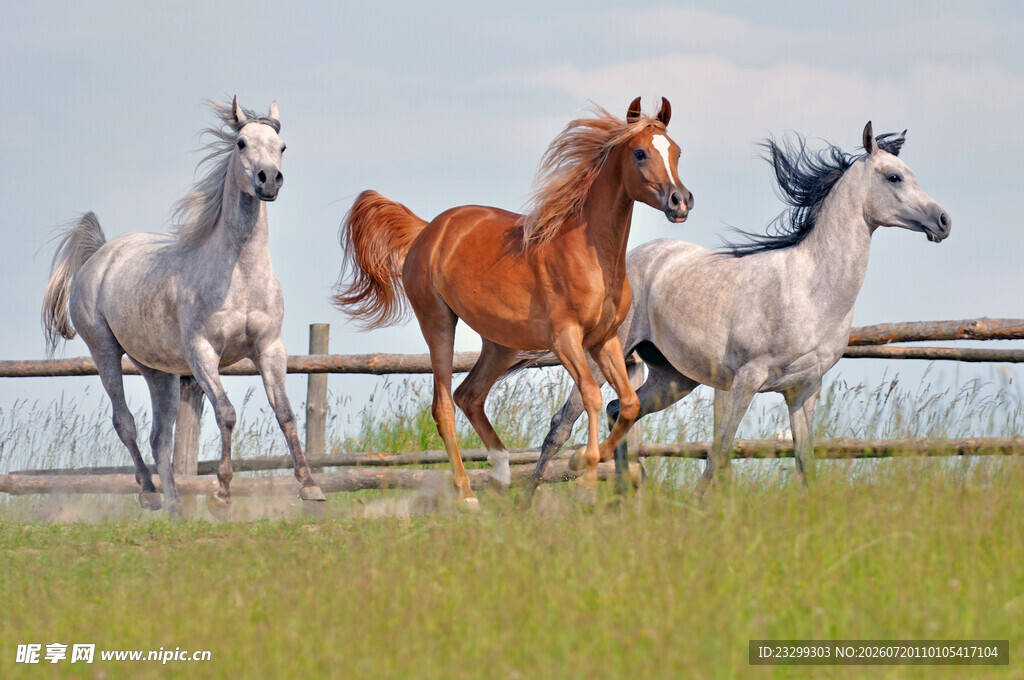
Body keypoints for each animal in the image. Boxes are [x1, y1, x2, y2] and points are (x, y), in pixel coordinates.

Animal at [42, 97, 325, 517]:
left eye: (282, 146)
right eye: (241, 142)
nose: (268, 180)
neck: (239, 273)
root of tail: (100, 255)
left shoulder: (270, 347)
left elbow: (286, 413)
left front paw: (310, 487)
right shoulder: (202, 352)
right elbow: (226, 413)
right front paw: (222, 493)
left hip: (158, 370)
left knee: (160, 436)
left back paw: (176, 507)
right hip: (105, 351)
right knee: (125, 422)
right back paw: (149, 494)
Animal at [332, 98, 693, 507]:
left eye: (677, 151)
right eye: (639, 153)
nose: (681, 202)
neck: (590, 253)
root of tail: (427, 230)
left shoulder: (605, 339)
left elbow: (629, 403)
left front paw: (579, 461)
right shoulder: (565, 339)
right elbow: (591, 396)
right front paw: (584, 477)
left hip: (501, 342)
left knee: (469, 395)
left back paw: (503, 475)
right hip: (438, 322)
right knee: (444, 405)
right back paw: (467, 494)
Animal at [525, 122, 950, 499]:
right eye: (894, 177)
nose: (943, 221)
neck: (810, 289)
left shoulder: (804, 390)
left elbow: (804, 461)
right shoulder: (746, 379)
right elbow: (720, 452)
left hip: (673, 378)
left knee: (620, 409)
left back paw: (625, 501)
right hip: (602, 358)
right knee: (562, 425)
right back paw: (527, 504)